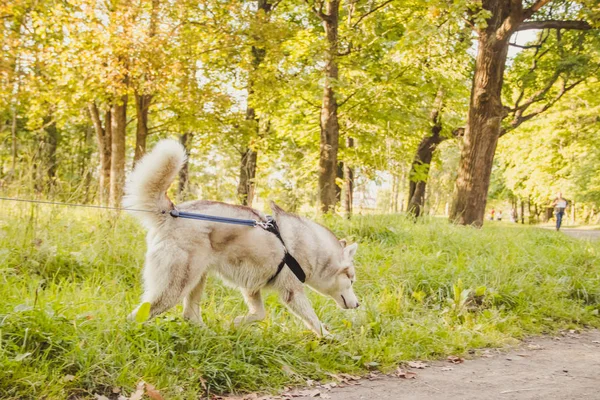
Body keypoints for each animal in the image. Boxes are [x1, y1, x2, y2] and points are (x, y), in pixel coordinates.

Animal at [124, 139, 358, 336]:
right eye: (352, 280)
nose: (358, 305)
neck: (313, 248)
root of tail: (172, 211)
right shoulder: (292, 291)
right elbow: (314, 321)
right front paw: (331, 339)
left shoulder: (251, 286)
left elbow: (259, 314)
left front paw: (234, 324)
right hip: (175, 287)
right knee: (137, 315)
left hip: (197, 279)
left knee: (189, 315)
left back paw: (211, 336)